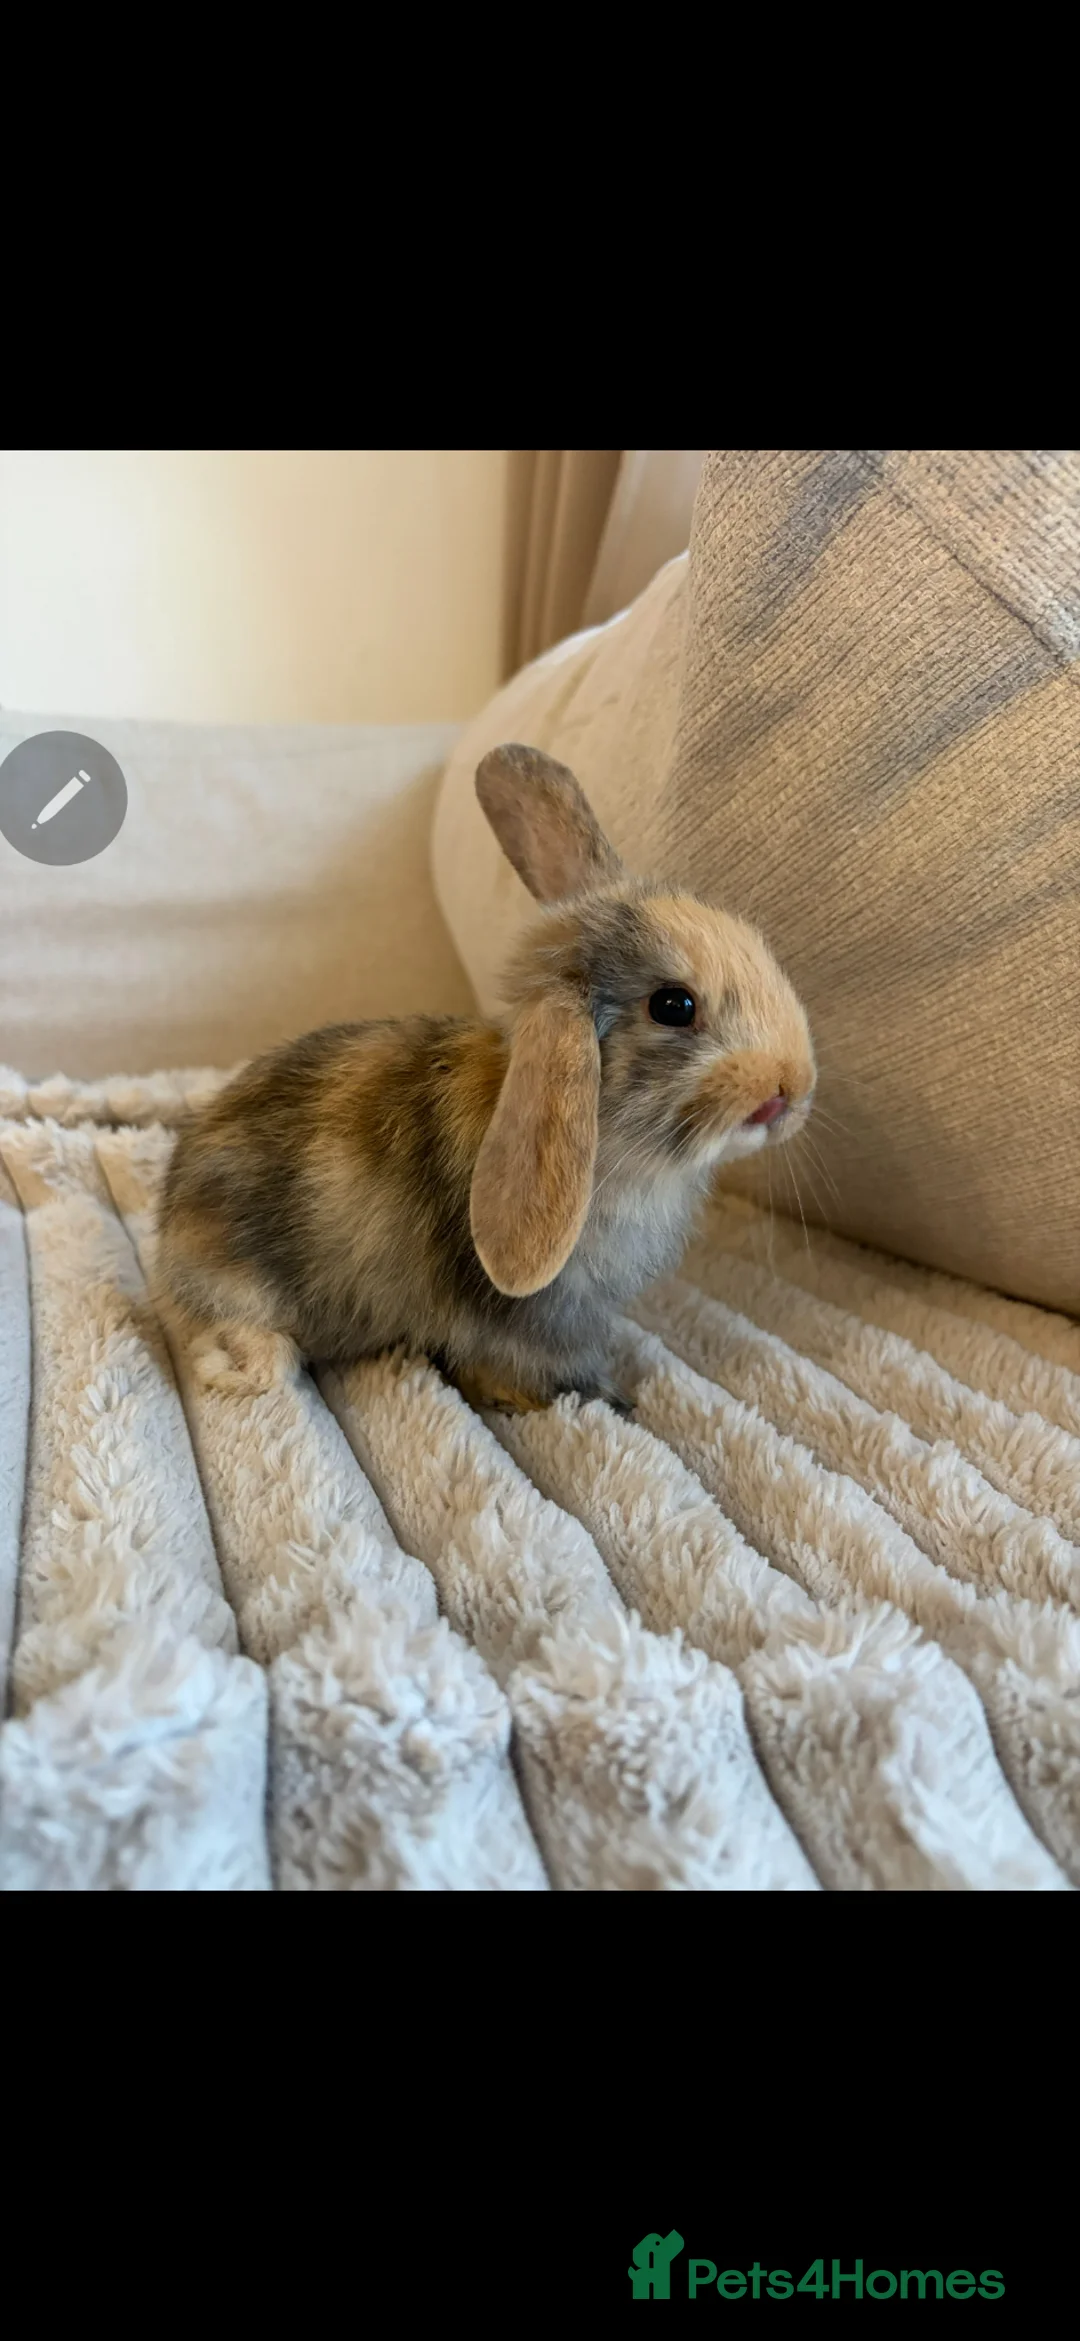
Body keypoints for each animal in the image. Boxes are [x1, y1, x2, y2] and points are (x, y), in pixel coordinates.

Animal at [156, 744, 816, 1412]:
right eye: (674, 1006)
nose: (791, 1088)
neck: (611, 1140)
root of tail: (168, 1231)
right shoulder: (529, 1316)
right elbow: (522, 1368)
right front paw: (598, 1398)